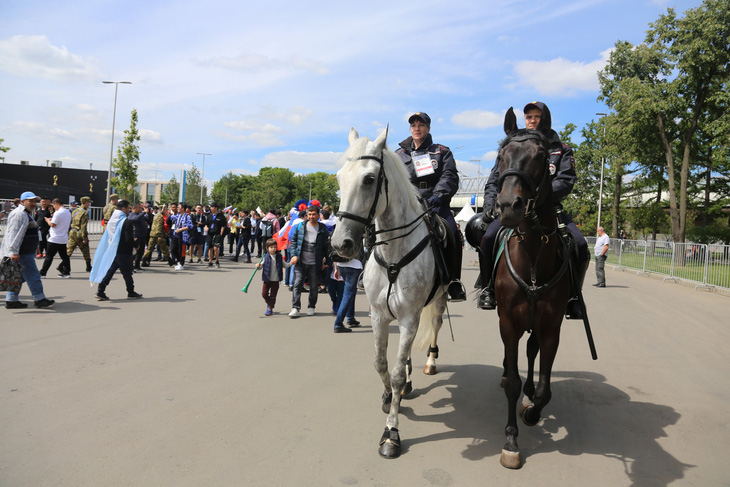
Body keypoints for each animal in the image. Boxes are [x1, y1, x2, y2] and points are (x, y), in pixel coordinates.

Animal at [328, 127, 444, 460]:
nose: (340, 245)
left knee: (435, 327)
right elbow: (381, 363)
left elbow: (394, 372)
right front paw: (387, 395)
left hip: (440, 299)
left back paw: (430, 362)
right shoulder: (379, 316)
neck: (395, 252)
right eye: (339, 178)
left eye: (369, 179)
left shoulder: (408, 318)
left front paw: (391, 432)